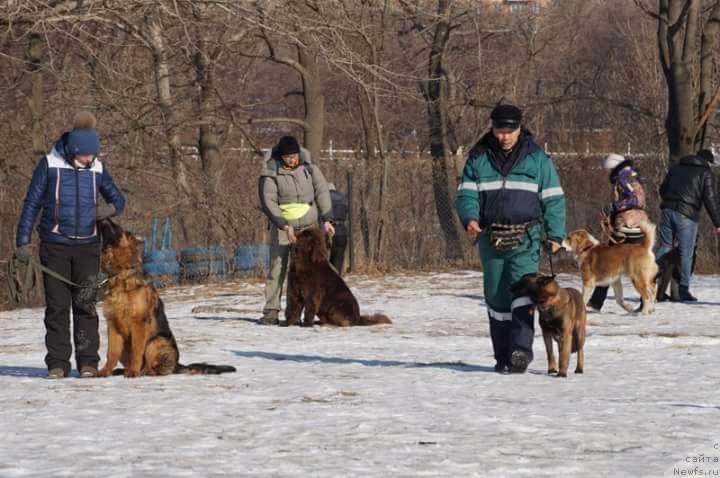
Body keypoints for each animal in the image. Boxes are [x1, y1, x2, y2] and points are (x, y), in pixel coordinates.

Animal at [95, 219, 235, 378]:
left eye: (116, 227)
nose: (102, 218)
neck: (121, 274)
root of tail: (178, 364)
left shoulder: (138, 323)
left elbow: (137, 350)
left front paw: (133, 372)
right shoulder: (112, 325)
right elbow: (111, 353)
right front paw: (105, 371)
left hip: (154, 342)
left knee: (155, 368)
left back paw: (142, 371)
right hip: (126, 345)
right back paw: (123, 370)